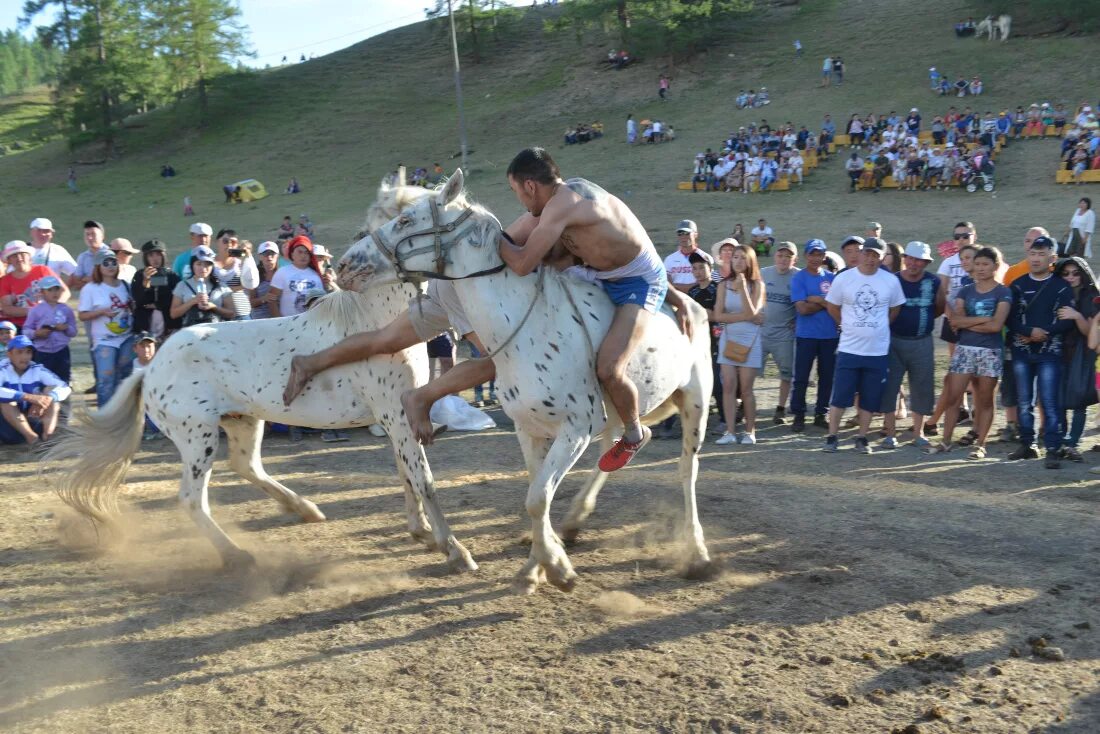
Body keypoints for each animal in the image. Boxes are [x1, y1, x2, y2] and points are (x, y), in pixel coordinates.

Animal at [338, 169, 712, 594]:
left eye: (404, 220)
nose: (344, 265)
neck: (526, 324)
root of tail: (692, 303)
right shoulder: (528, 427)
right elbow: (537, 496)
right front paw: (538, 566)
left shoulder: (575, 430)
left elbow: (537, 499)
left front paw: (556, 570)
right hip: (617, 411)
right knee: (621, 446)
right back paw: (576, 520)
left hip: (695, 403)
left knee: (687, 470)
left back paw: (697, 550)